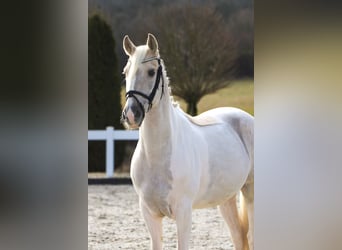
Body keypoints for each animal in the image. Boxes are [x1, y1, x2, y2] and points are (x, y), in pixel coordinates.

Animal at [121, 33, 254, 250]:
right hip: (226, 198)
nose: (131, 114)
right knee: (237, 235)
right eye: (125, 73)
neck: (157, 156)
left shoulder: (183, 212)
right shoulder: (149, 213)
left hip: (251, 193)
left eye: (151, 72)